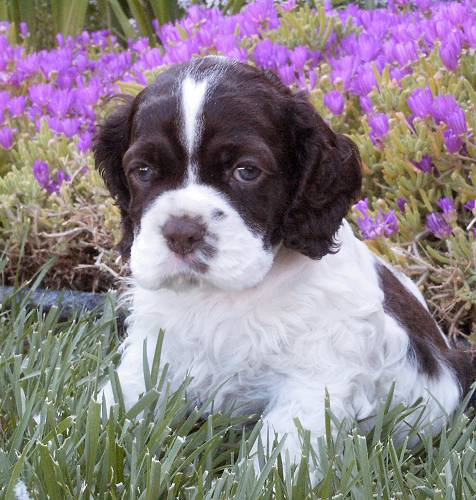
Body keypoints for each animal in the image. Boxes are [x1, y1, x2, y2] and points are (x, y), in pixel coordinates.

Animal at [92, 56, 472, 462]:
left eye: (246, 171)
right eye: (142, 171)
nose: (182, 232)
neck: (223, 297)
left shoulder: (315, 376)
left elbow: (278, 455)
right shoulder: (155, 346)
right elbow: (118, 400)